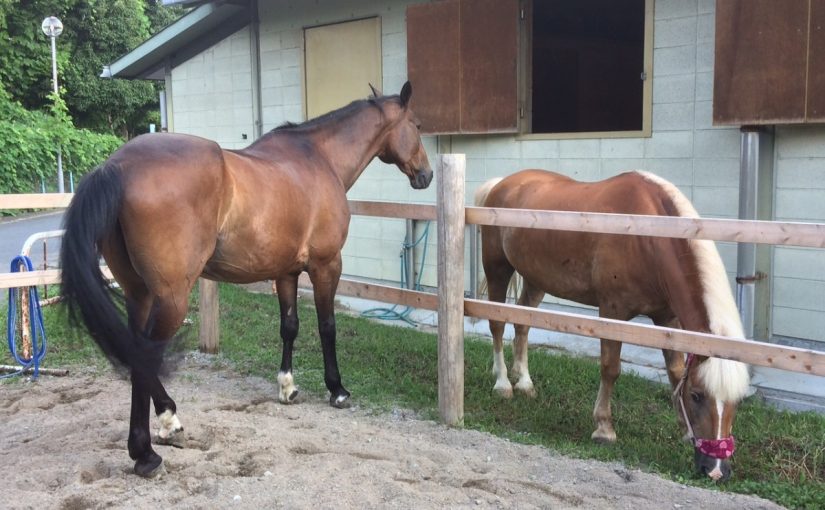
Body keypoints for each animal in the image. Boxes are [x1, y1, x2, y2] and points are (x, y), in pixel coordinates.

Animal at [59, 82, 432, 477]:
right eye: (417, 125)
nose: (426, 175)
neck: (318, 159)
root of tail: (115, 166)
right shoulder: (326, 265)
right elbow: (327, 326)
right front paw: (337, 389)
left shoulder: (285, 271)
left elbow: (290, 326)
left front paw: (287, 387)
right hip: (171, 299)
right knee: (145, 354)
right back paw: (151, 446)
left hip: (139, 294)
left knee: (135, 354)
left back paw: (160, 431)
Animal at [474, 169, 750, 481]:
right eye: (697, 395)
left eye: (737, 401)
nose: (715, 470)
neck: (648, 235)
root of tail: (501, 183)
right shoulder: (612, 312)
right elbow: (610, 369)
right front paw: (604, 428)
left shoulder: (667, 319)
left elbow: (675, 371)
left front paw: (682, 428)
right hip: (497, 268)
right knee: (497, 324)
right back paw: (503, 384)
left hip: (536, 278)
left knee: (523, 324)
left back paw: (524, 383)